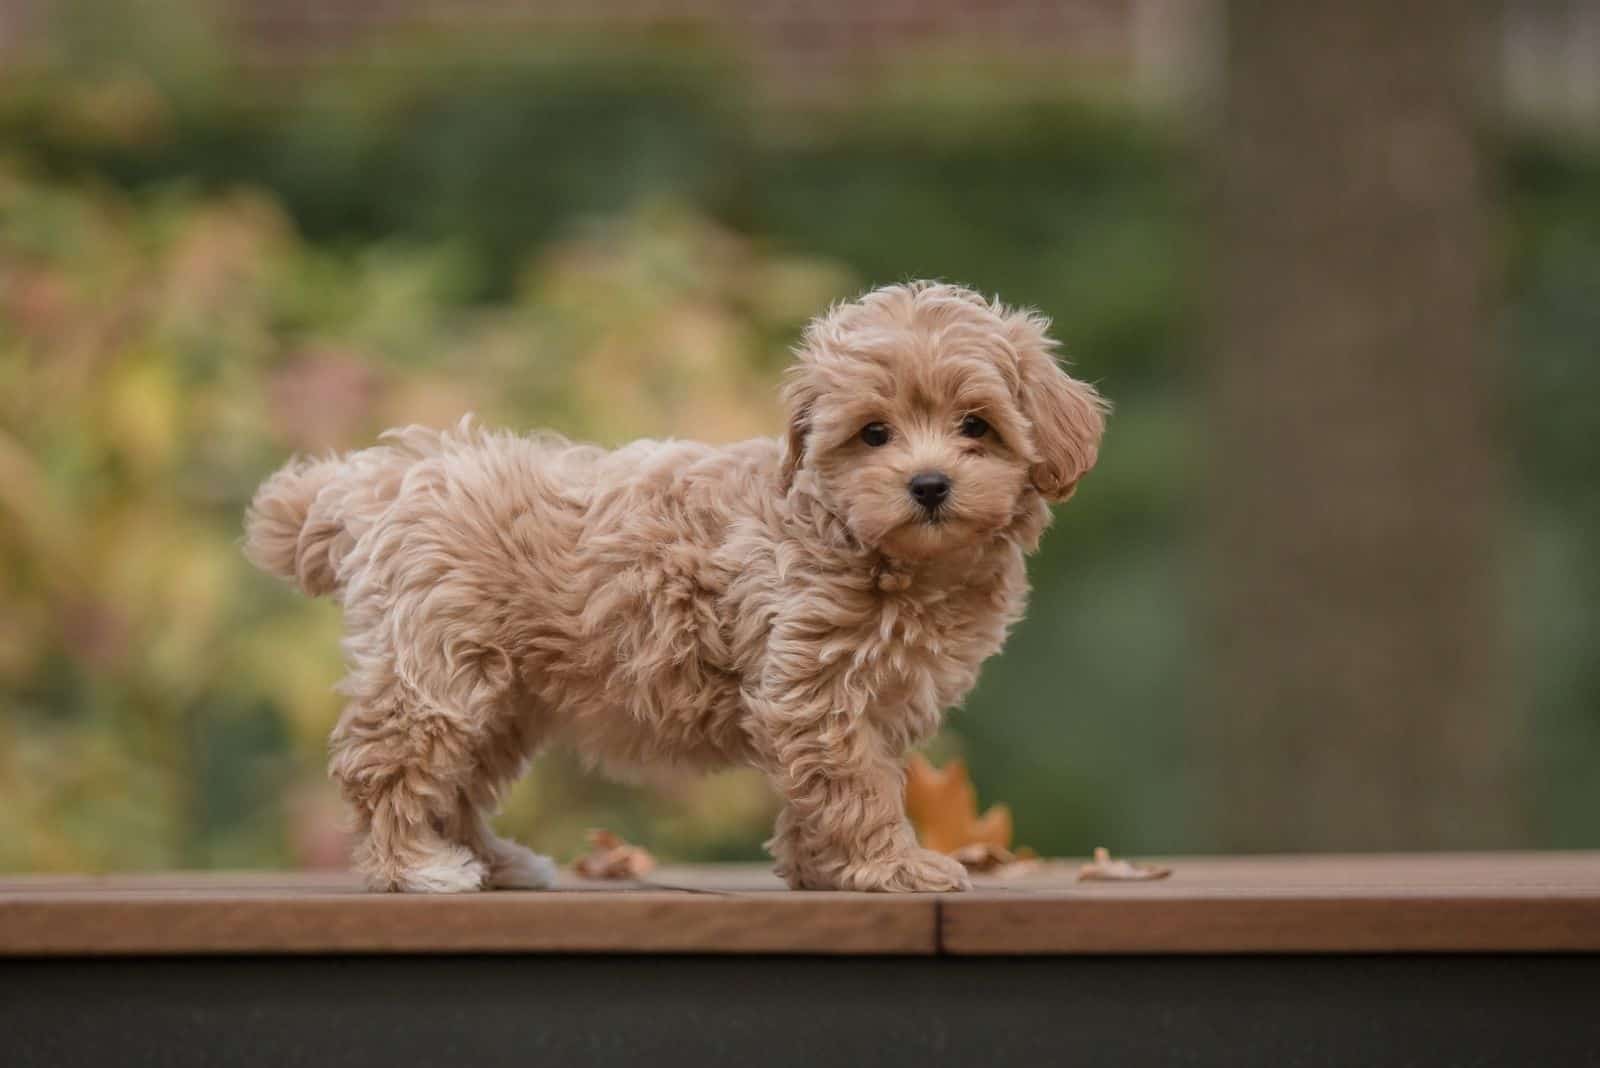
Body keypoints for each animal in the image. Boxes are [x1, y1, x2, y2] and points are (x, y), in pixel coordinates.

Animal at [243, 279, 1107, 888]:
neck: (866, 544)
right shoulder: (814, 685)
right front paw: (890, 865)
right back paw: (416, 869)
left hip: (504, 698)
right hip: (439, 672)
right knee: (386, 765)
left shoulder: (871, 701)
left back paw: (494, 862)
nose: (928, 484)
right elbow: (856, 784)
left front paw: (821, 868)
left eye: (976, 426)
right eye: (873, 434)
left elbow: (831, 784)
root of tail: (379, 482)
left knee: (456, 784)